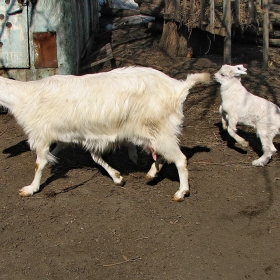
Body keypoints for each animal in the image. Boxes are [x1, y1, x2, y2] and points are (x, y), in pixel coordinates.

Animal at [0, 66, 210, 200]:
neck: (23, 96)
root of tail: (179, 87)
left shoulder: (41, 134)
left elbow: (39, 163)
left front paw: (30, 189)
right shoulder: (71, 133)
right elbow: (92, 156)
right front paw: (117, 177)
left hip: (160, 129)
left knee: (180, 159)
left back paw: (181, 192)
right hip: (155, 131)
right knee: (164, 154)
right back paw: (151, 174)